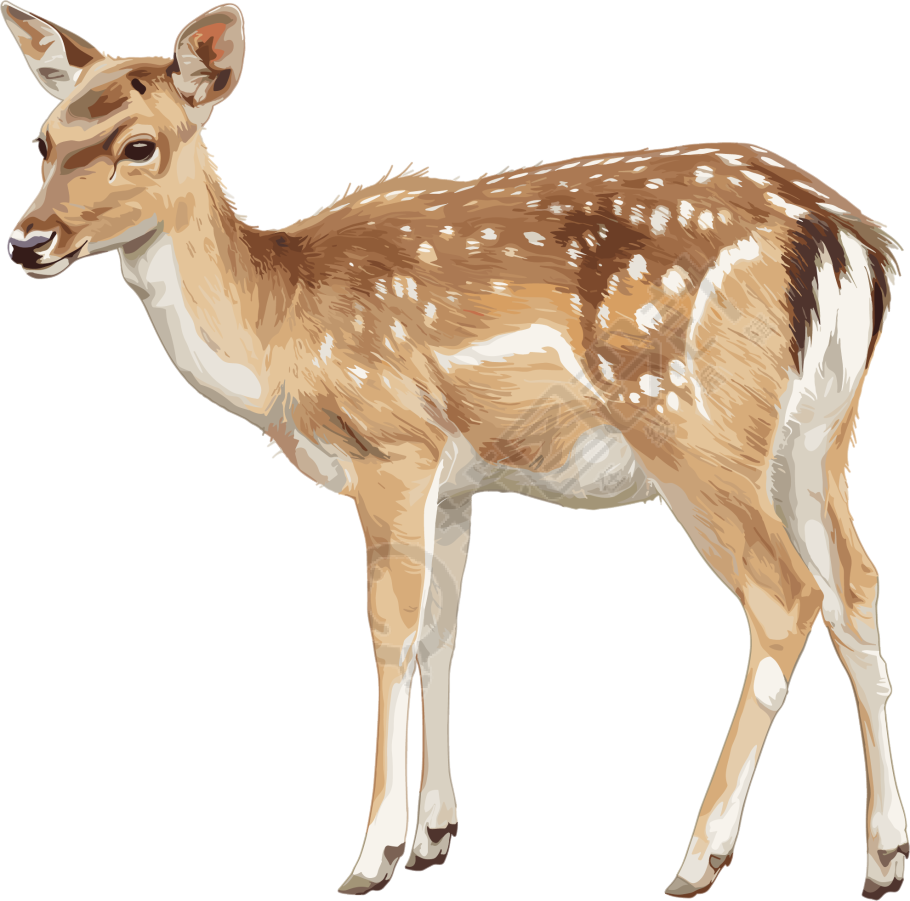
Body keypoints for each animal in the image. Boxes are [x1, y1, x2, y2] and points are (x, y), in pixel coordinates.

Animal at [2, 2, 906, 896]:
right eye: (42, 137)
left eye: (139, 144)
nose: (28, 240)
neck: (280, 332)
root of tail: (847, 238)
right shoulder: (460, 480)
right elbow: (443, 630)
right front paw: (435, 834)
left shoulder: (392, 446)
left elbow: (390, 631)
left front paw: (371, 854)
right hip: (821, 434)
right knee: (856, 583)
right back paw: (882, 855)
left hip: (696, 425)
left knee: (784, 594)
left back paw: (697, 855)